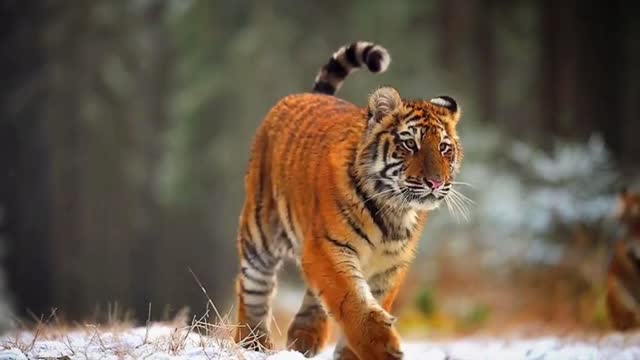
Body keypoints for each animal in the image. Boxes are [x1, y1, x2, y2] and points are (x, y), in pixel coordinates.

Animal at [232, 40, 462, 358]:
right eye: (409, 144)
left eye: (443, 148)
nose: (436, 182)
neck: (395, 211)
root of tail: (309, 95)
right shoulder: (329, 246)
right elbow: (352, 300)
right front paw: (383, 348)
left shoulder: (390, 265)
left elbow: (370, 300)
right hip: (261, 233)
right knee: (253, 287)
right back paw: (252, 343)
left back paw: (303, 337)